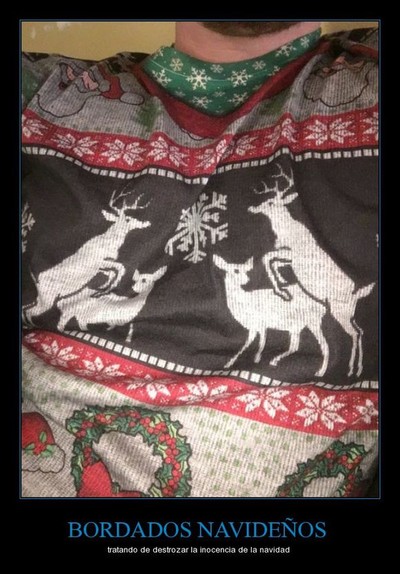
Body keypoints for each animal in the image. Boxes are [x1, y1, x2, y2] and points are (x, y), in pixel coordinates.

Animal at [23, 188, 151, 326]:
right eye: (128, 219)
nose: (146, 223)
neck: (108, 243)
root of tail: (38, 280)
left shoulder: (102, 266)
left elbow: (112, 273)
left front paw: (100, 290)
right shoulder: (100, 262)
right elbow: (121, 268)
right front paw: (102, 291)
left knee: (27, 308)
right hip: (48, 298)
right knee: (30, 311)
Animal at [248, 163, 375, 377]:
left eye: (271, 203)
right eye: (265, 200)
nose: (252, 207)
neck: (287, 232)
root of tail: (356, 295)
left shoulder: (292, 255)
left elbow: (267, 258)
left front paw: (282, 291)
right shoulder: (288, 259)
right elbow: (273, 262)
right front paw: (284, 284)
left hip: (339, 310)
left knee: (354, 333)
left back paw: (351, 369)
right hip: (348, 313)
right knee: (360, 330)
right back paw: (355, 368)